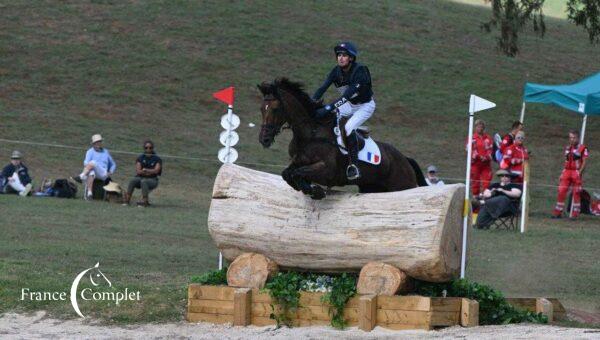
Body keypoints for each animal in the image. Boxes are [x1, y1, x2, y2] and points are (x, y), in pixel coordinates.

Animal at [258, 77, 426, 199]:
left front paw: (315, 191)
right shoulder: (297, 162)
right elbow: (287, 174)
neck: (310, 134)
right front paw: (307, 188)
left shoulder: (327, 170)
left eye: (275, 109)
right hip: (372, 188)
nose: (264, 139)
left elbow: (297, 173)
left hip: (402, 185)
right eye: (261, 109)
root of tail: (405, 159)